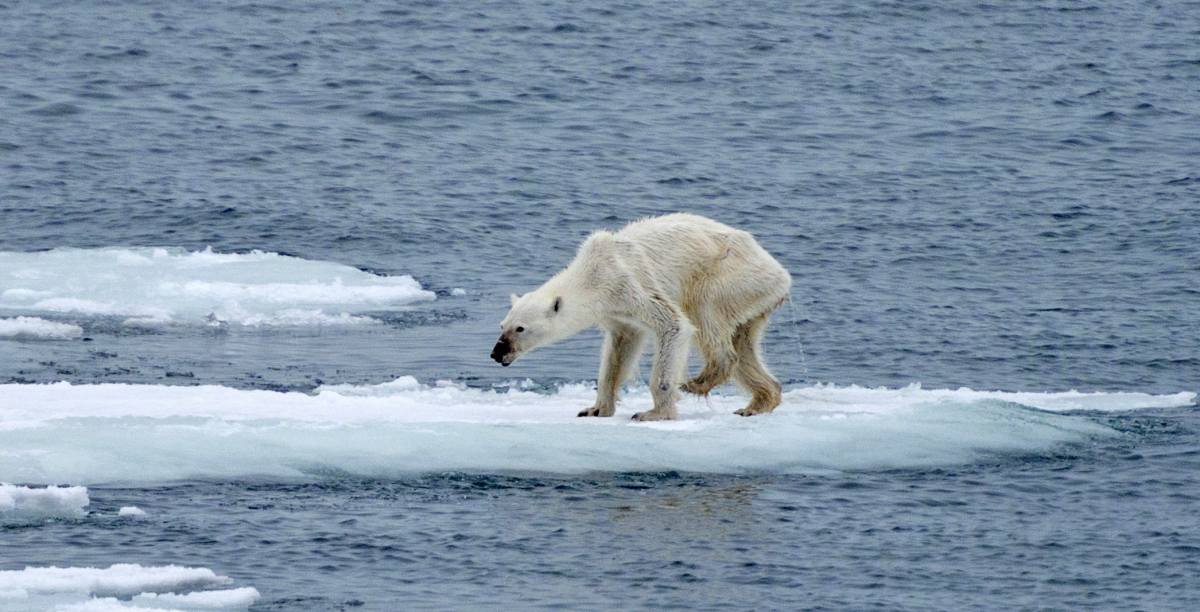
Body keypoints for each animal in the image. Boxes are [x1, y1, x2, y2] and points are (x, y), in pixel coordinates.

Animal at [492, 213, 792, 420]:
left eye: (520, 328)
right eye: (502, 325)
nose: (497, 353)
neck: (593, 273)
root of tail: (781, 274)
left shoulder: (629, 284)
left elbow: (674, 325)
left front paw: (653, 413)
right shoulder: (616, 311)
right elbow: (619, 350)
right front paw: (595, 409)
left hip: (730, 275)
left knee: (706, 312)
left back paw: (697, 382)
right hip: (752, 297)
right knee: (744, 344)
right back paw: (758, 403)